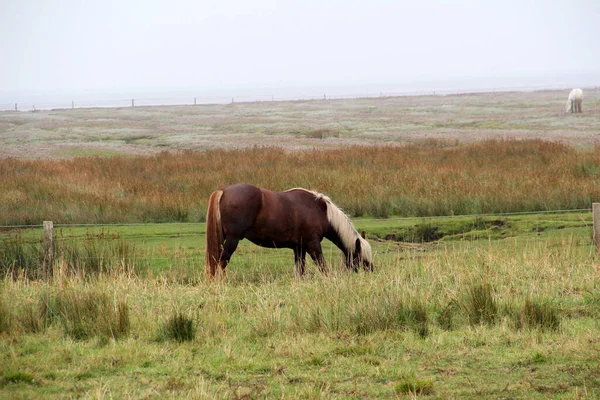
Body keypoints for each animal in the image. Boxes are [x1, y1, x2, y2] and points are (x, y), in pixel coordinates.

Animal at [207, 183, 376, 276]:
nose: (372, 272)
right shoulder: (313, 245)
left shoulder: (299, 248)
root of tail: (223, 191)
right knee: (222, 261)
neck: (321, 211)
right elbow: (323, 266)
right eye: (362, 258)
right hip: (233, 239)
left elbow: (300, 271)